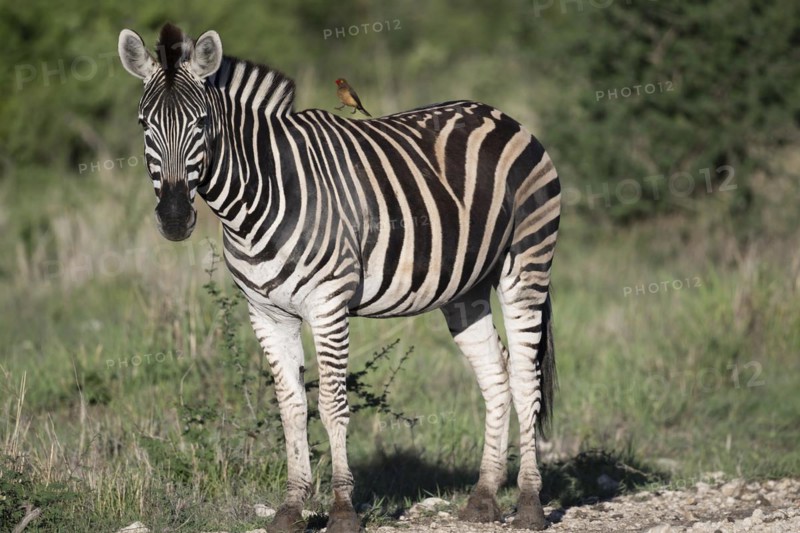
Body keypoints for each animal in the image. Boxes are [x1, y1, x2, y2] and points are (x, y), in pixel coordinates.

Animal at [118, 23, 561, 533]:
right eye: (144, 125)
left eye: (201, 124)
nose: (173, 219)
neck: (258, 197)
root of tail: (501, 115)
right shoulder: (266, 313)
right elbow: (291, 409)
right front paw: (291, 508)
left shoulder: (328, 304)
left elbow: (332, 405)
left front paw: (343, 510)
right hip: (466, 289)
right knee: (496, 375)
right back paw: (484, 499)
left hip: (526, 262)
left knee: (525, 378)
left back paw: (529, 505)